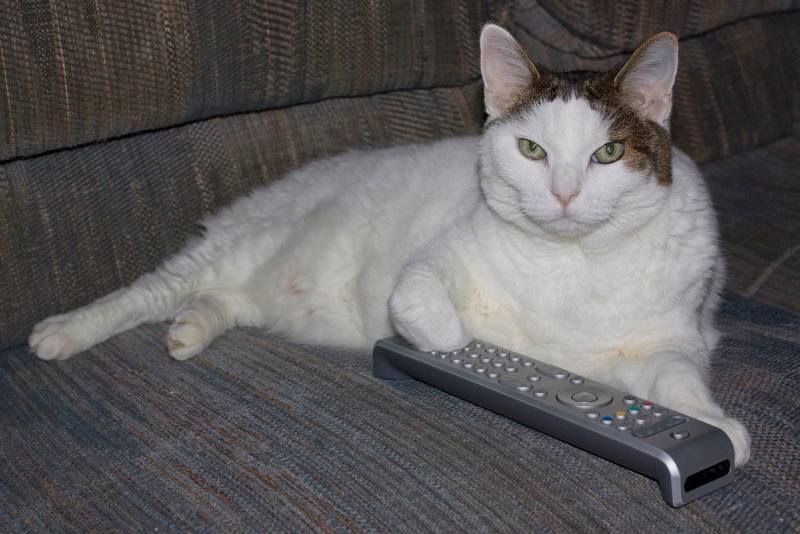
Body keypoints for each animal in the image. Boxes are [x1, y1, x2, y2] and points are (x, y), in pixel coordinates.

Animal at [29, 26, 752, 464]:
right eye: (531, 149)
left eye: (607, 154)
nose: (566, 194)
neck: (574, 267)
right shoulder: (440, 258)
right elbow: (421, 298)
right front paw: (460, 347)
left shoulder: (671, 340)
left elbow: (676, 381)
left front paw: (715, 429)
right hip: (239, 243)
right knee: (149, 290)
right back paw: (63, 332)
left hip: (255, 289)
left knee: (220, 301)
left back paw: (190, 330)